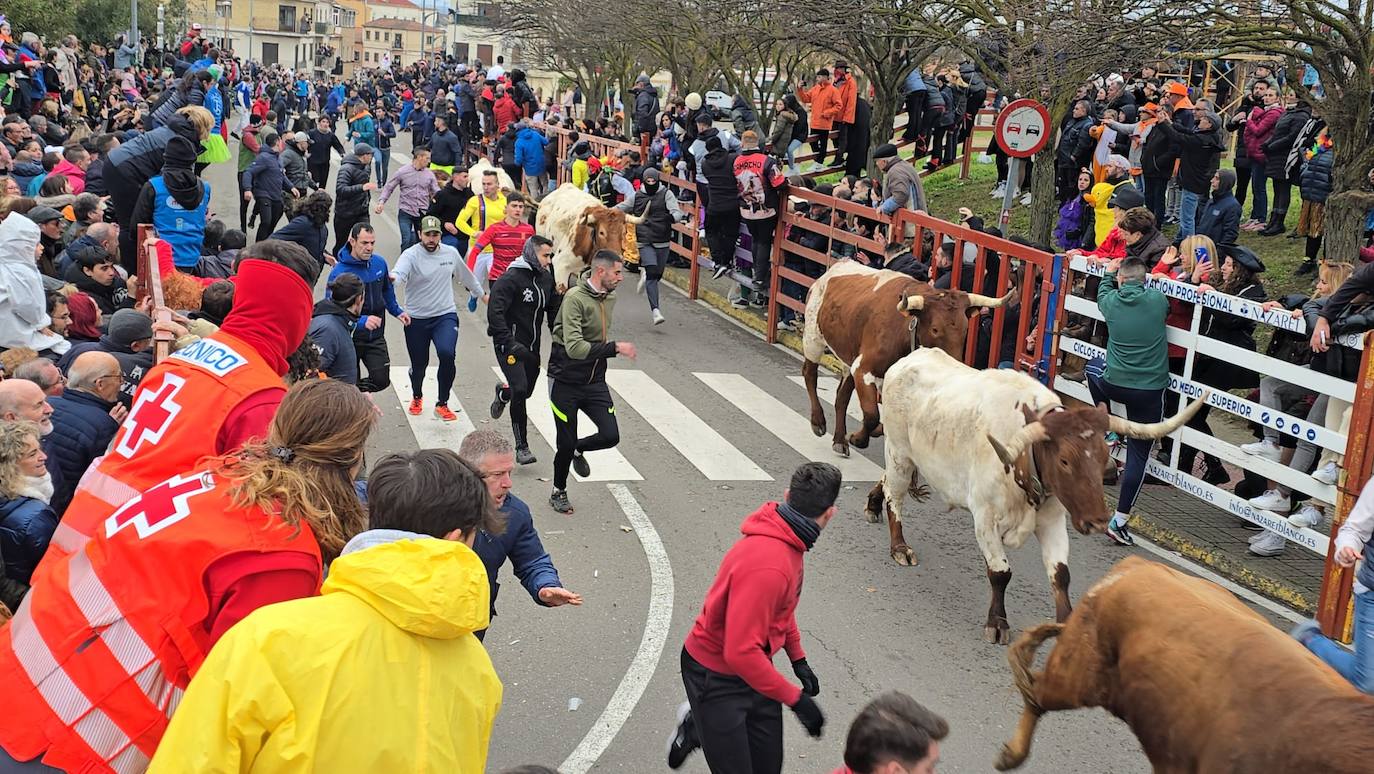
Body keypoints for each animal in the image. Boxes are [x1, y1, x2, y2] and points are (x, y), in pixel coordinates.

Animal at [802, 262, 1016, 453]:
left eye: (965, 330)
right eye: (935, 329)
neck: (905, 330)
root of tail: (835, 267)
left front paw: (864, 434)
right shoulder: (863, 368)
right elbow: (871, 415)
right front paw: (859, 438)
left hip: (848, 358)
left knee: (841, 396)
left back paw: (839, 440)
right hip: (813, 338)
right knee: (809, 374)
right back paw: (818, 421)